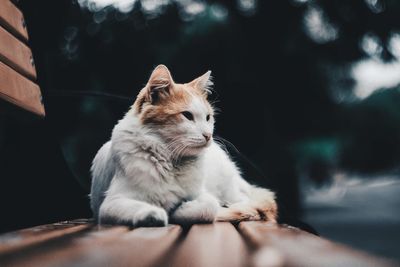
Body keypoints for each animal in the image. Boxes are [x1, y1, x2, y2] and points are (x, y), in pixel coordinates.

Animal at [90, 65, 278, 226]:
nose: (208, 135)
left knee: (246, 203)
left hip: (230, 188)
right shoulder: (110, 204)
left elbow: (208, 208)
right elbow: (143, 208)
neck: (171, 161)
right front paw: (154, 215)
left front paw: (179, 210)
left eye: (208, 117)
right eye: (187, 115)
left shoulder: (203, 195)